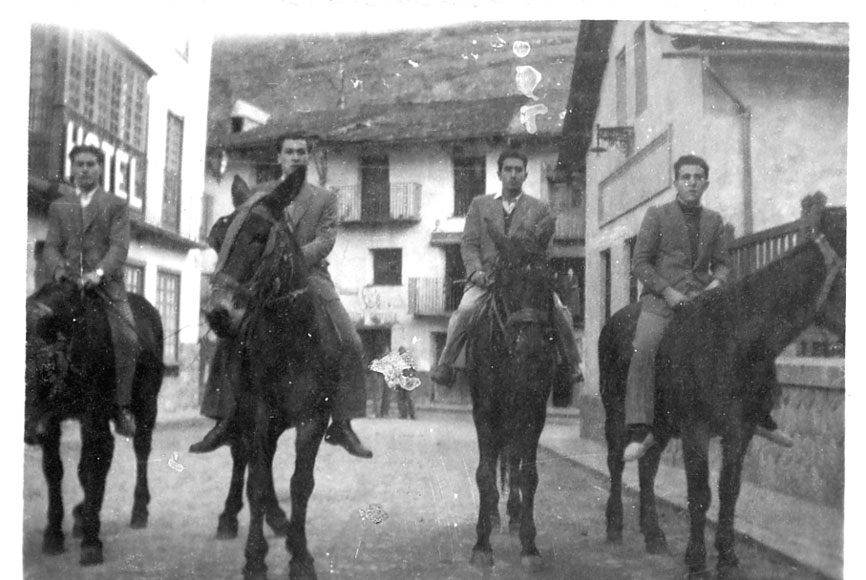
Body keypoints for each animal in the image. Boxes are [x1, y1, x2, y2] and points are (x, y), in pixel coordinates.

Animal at [25, 282, 164, 568]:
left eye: (45, 365)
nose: (30, 430)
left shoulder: (93, 418)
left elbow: (93, 467)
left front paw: (91, 543)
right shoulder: (52, 422)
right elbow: (55, 470)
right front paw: (54, 536)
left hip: (148, 404)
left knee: (141, 451)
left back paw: (139, 510)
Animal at [202, 171, 338, 580]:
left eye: (260, 235)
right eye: (219, 238)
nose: (218, 313)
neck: (290, 340)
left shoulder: (313, 418)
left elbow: (300, 483)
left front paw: (300, 554)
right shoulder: (257, 414)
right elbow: (257, 482)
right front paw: (255, 558)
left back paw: (280, 521)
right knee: (242, 459)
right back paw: (231, 518)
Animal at [596, 195, 840, 580]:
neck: (733, 339)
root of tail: (614, 320)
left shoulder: (740, 431)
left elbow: (729, 491)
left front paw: (727, 557)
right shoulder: (695, 430)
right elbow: (700, 493)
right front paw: (697, 561)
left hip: (660, 425)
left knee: (647, 467)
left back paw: (653, 534)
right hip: (616, 414)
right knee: (617, 462)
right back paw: (615, 525)